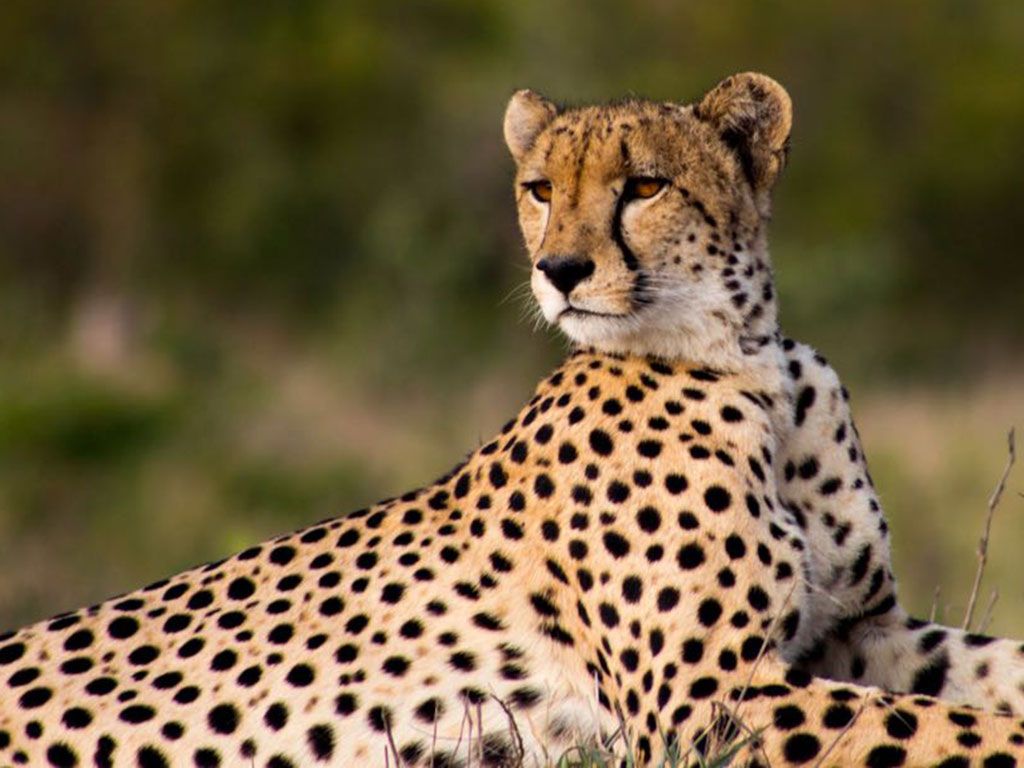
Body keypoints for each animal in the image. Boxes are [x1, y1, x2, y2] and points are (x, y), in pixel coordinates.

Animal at [1, 71, 1023, 767]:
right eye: (539, 188)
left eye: (643, 186)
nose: (559, 270)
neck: (750, 363)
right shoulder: (706, 701)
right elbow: (948, 729)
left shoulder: (859, 632)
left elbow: (982, 679)